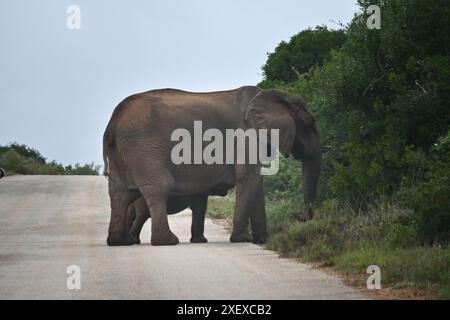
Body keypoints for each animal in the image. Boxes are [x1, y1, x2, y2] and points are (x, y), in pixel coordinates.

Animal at [103, 84, 320, 245]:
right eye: (310, 123)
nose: (299, 215)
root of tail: (113, 121)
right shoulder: (245, 136)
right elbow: (249, 178)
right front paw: (243, 239)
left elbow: (254, 183)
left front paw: (261, 240)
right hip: (144, 146)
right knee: (158, 187)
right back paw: (166, 241)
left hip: (123, 151)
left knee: (120, 193)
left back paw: (120, 242)